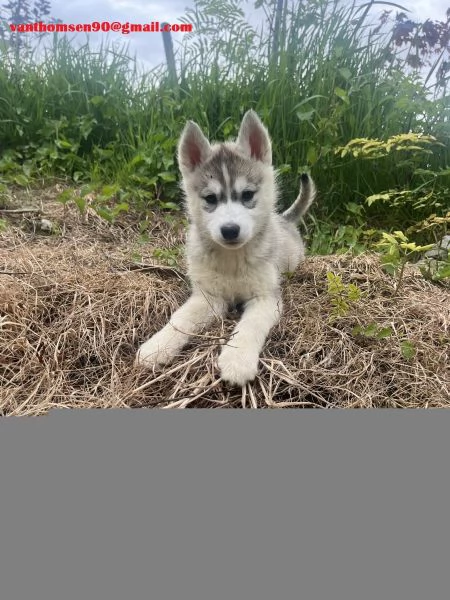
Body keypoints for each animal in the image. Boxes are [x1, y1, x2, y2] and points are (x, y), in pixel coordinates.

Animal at [137, 110, 316, 386]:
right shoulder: (209, 297)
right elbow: (180, 318)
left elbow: (250, 325)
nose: (230, 230)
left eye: (247, 195)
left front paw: (237, 360)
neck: (233, 259)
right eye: (211, 199)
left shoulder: (266, 297)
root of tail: (284, 219)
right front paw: (158, 345)